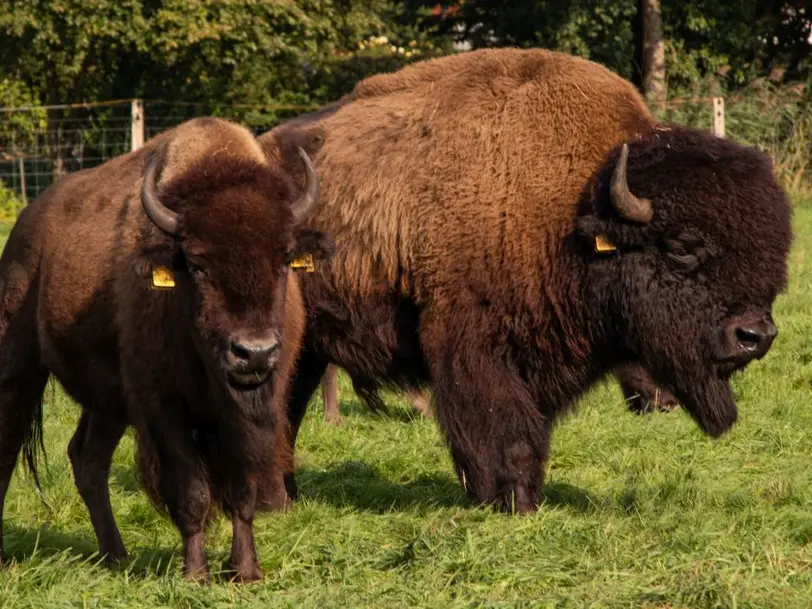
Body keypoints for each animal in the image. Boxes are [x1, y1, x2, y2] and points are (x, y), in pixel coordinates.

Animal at [0, 117, 334, 580]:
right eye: (196, 263)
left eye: (284, 259)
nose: (253, 352)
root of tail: (26, 224)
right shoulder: (163, 408)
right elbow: (191, 492)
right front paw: (195, 575)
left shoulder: (250, 412)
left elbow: (242, 491)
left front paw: (246, 571)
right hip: (18, 364)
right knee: (9, 446)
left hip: (108, 404)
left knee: (87, 458)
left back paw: (115, 555)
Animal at [260, 48, 792, 512]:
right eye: (681, 246)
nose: (756, 336)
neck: (574, 207)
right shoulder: (474, 348)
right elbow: (502, 429)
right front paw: (512, 502)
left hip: (308, 348)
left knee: (288, 409)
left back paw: (288, 494)